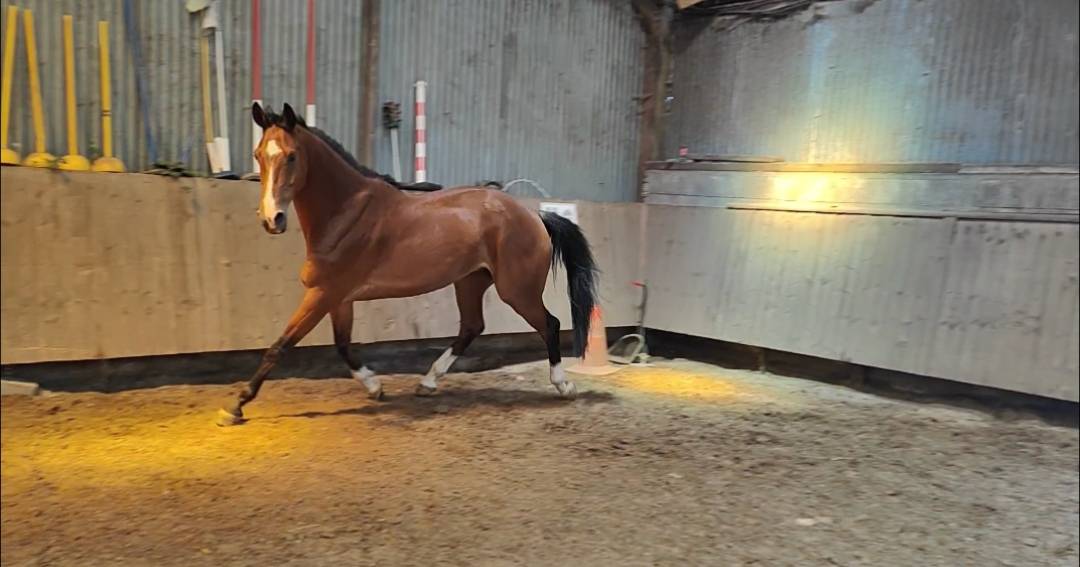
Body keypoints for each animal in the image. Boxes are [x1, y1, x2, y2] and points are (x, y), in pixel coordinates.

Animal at [216, 103, 598, 426]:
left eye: (292, 156)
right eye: (258, 155)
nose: (272, 220)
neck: (346, 213)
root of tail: (534, 216)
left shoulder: (324, 293)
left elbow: (279, 346)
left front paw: (235, 406)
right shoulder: (338, 298)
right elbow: (342, 345)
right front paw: (375, 387)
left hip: (516, 290)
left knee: (549, 324)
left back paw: (563, 386)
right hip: (470, 281)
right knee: (472, 327)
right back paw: (427, 383)